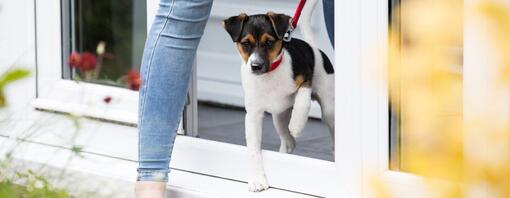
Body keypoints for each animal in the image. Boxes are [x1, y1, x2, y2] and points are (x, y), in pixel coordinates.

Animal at [222, 0, 334, 192]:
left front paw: (297, 124)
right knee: (289, 142)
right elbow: (253, 149)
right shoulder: (253, 116)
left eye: (269, 42)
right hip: (279, 117)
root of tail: (313, 47)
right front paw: (256, 180)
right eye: (245, 43)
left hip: (329, 109)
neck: (269, 75)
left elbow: (302, 100)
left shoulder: (306, 78)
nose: (256, 66)